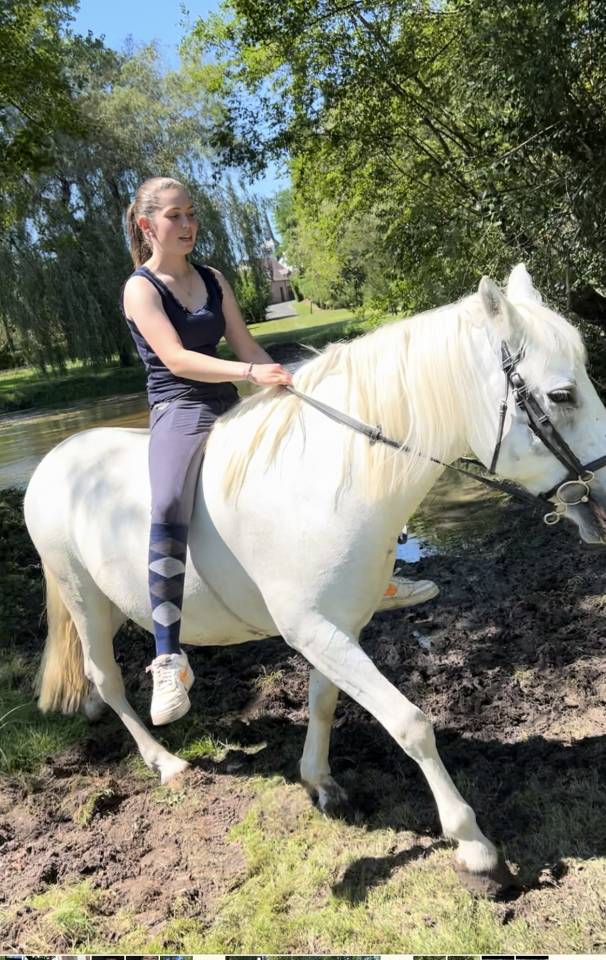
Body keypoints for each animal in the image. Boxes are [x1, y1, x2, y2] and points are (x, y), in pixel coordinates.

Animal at [24, 265, 606, 896]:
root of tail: (56, 460)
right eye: (562, 395)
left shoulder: (336, 627)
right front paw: (476, 851)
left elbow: (323, 702)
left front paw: (321, 783)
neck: (323, 482)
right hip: (83, 598)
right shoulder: (314, 630)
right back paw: (165, 760)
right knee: (105, 678)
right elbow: (411, 725)